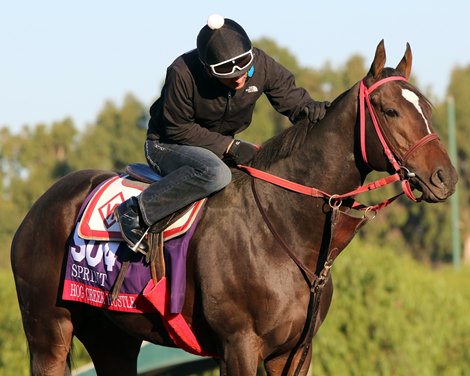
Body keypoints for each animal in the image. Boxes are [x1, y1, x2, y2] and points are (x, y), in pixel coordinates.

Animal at [11, 41, 458, 376]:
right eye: (390, 110)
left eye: (428, 108)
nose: (445, 177)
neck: (282, 228)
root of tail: (35, 211)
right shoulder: (239, 346)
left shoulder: (293, 353)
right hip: (48, 332)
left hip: (113, 338)